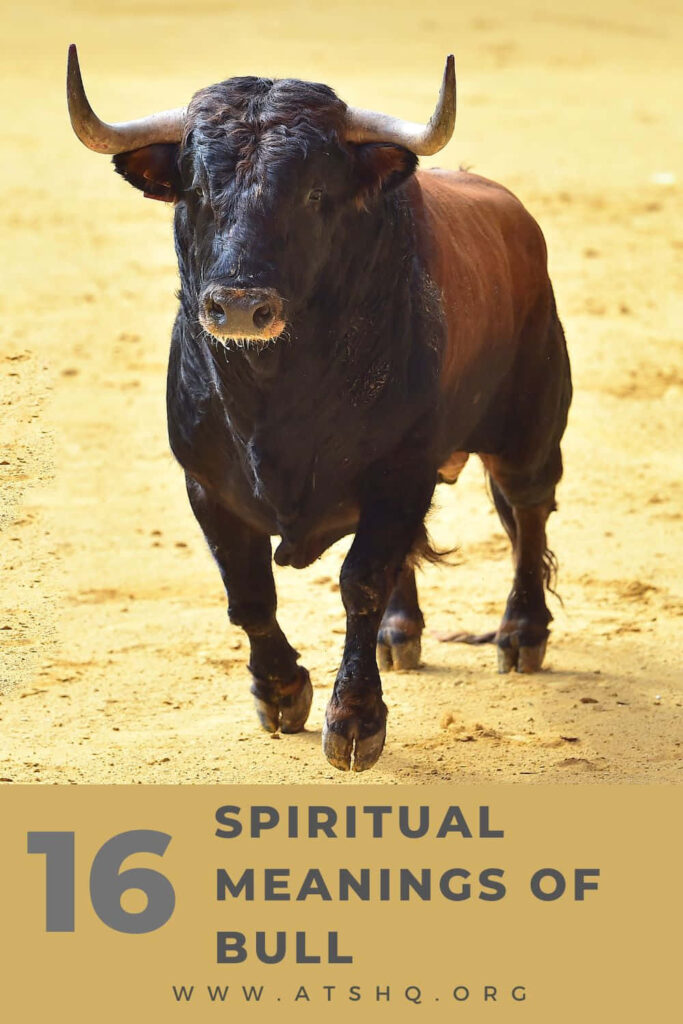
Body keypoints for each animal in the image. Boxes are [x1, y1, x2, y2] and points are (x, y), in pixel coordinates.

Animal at [67, 45, 571, 771]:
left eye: (312, 194)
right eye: (198, 191)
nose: (240, 306)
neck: (274, 393)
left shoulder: (398, 473)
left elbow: (360, 581)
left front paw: (354, 719)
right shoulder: (207, 487)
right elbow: (248, 593)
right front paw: (280, 693)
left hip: (528, 432)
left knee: (527, 516)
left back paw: (520, 634)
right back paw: (401, 634)